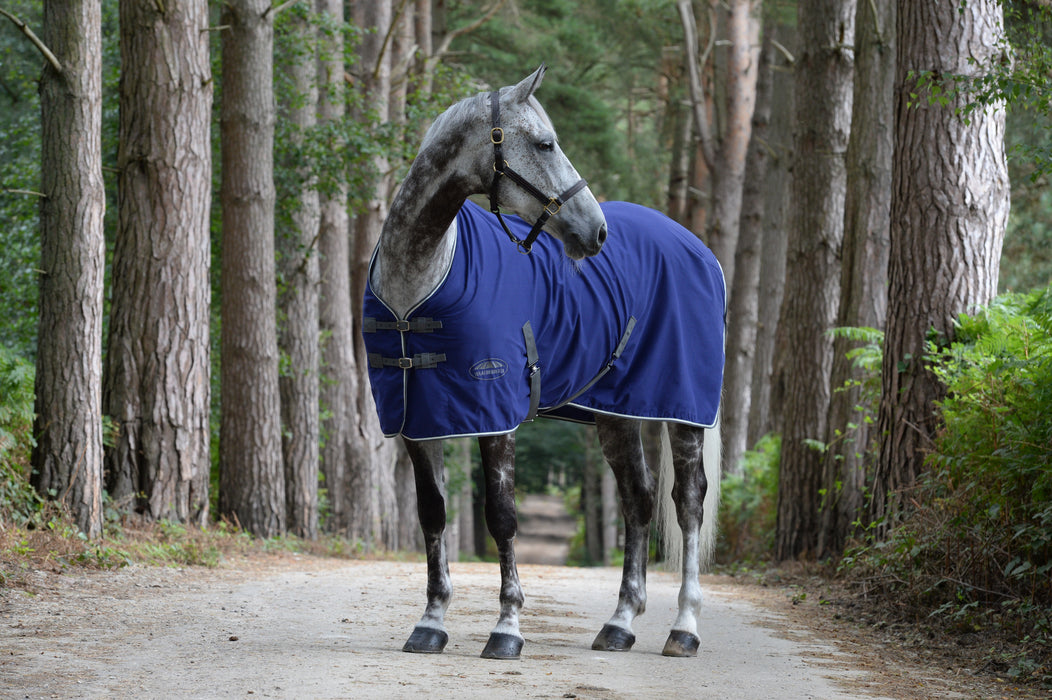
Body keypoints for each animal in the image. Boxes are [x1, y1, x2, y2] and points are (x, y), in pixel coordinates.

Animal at [361, 66, 723, 661]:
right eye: (545, 143)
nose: (596, 231)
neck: (418, 285)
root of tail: (700, 250)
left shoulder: (496, 414)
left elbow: (503, 517)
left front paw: (507, 628)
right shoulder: (419, 421)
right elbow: (433, 514)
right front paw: (431, 622)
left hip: (684, 411)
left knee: (687, 502)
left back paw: (685, 628)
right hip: (618, 415)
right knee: (639, 500)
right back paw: (619, 624)